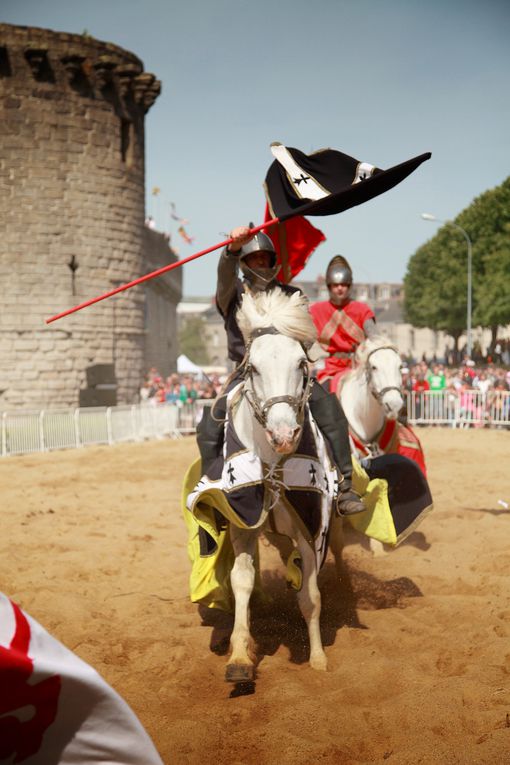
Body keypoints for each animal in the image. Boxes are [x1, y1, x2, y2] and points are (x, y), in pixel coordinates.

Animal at [225, 290, 344, 680]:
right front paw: (239, 657)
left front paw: (318, 658)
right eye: (253, 368)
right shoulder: (243, 526)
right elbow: (242, 580)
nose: (283, 434)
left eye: (301, 365)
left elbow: (311, 597)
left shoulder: (312, 530)